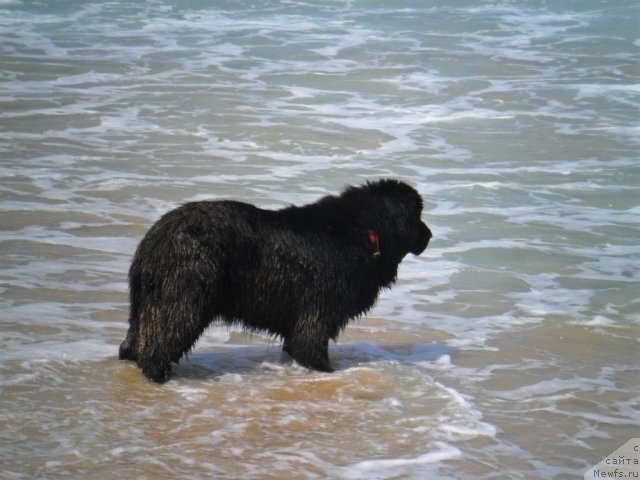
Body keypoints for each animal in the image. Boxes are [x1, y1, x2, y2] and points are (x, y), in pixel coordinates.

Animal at [119, 179, 430, 382]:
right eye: (418, 216)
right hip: (188, 298)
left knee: (133, 345)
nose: (430, 235)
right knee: (159, 350)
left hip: (147, 302)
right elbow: (312, 349)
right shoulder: (316, 318)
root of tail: (157, 238)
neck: (364, 231)